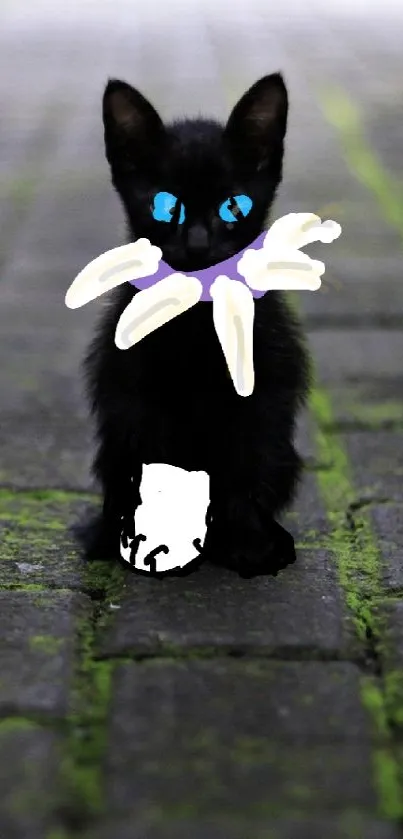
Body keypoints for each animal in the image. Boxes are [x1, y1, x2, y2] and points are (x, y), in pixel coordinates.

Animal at [78, 72, 312, 576]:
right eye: (166, 206)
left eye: (233, 206)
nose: (200, 243)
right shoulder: (137, 399)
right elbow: (154, 471)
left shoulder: (261, 397)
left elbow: (245, 468)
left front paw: (250, 544)